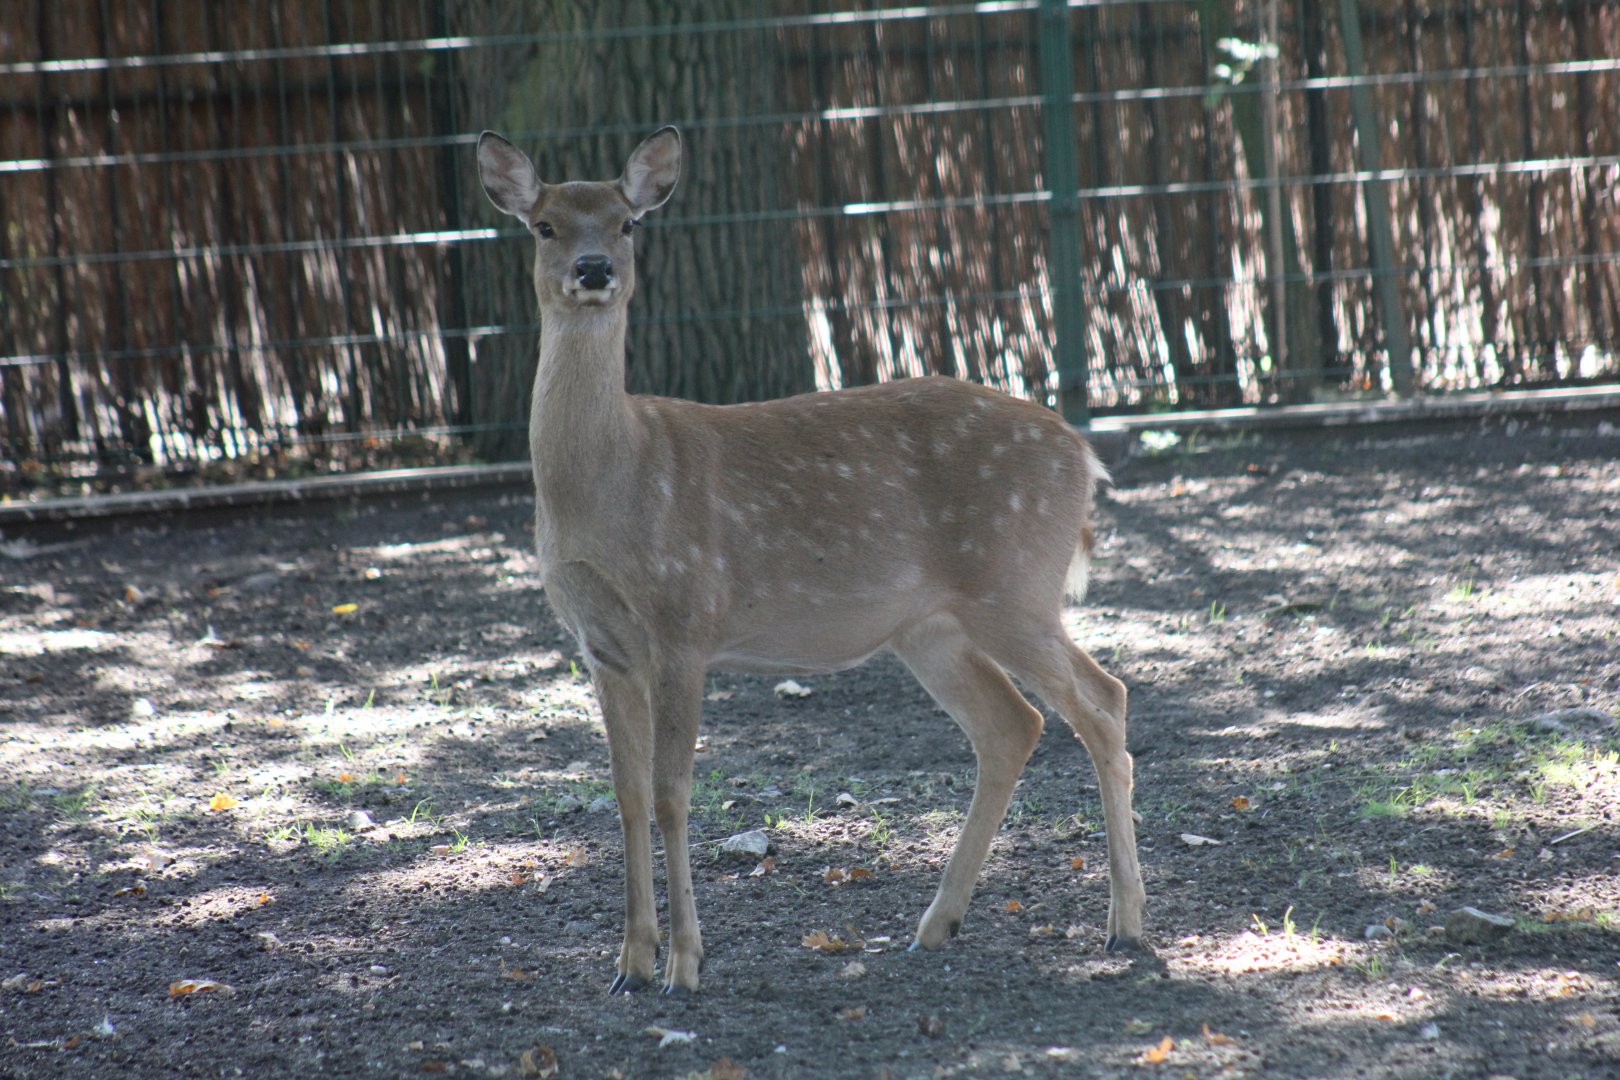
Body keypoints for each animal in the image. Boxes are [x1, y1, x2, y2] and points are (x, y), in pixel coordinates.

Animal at [476, 126, 1146, 995]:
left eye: (627, 223)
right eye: (545, 226)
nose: (594, 270)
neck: (609, 486)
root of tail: (1082, 455)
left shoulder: (686, 622)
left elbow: (672, 793)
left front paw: (685, 963)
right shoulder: (603, 647)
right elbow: (624, 795)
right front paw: (628, 962)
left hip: (1016, 584)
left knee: (1103, 699)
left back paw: (1124, 923)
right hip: (930, 625)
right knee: (1013, 722)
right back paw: (936, 924)